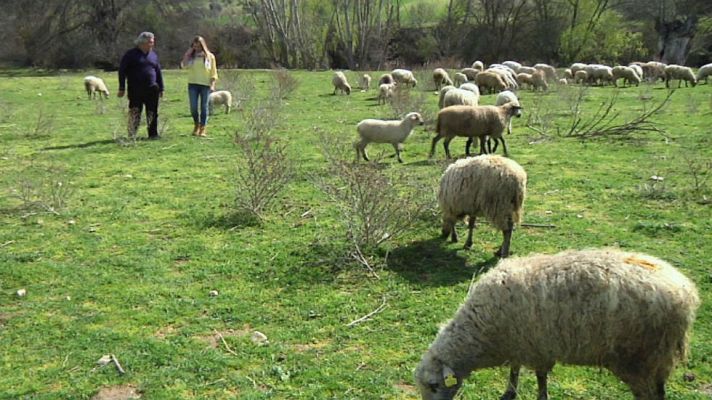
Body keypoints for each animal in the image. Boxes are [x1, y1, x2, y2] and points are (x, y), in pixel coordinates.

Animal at [415, 248, 700, 400]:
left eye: (435, 386)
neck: (481, 332)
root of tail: (685, 292)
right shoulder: (521, 343)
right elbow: (515, 369)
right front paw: (510, 391)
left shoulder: (538, 348)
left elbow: (540, 378)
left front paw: (541, 396)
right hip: (657, 358)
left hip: (639, 358)